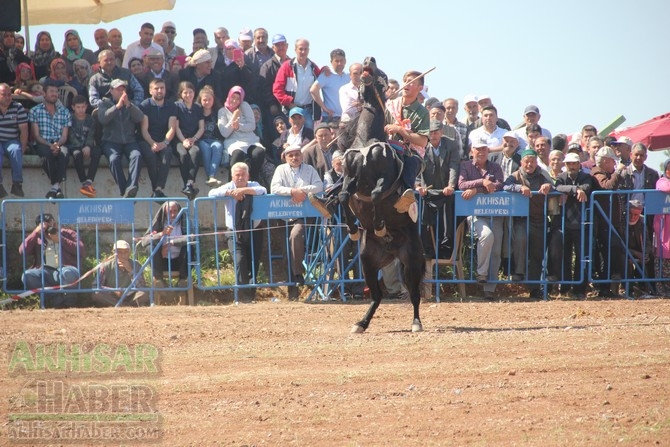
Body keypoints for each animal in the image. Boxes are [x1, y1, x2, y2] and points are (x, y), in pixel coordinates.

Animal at [338, 57, 428, 334]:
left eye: (383, 74)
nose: (369, 59)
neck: (367, 140)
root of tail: (391, 251)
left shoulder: (384, 177)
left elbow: (378, 194)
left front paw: (378, 224)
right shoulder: (351, 178)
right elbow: (343, 196)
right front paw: (352, 228)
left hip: (411, 260)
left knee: (414, 294)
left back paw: (416, 323)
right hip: (368, 262)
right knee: (376, 296)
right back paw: (361, 323)